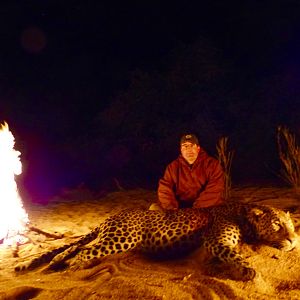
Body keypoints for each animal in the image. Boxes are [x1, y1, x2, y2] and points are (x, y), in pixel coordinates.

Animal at [15, 202, 298, 282]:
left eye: (291, 225)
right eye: (277, 225)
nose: (294, 240)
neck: (242, 213)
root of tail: (110, 217)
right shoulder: (216, 241)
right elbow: (235, 255)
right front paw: (251, 271)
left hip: (110, 237)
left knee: (75, 246)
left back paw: (56, 262)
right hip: (122, 238)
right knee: (84, 250)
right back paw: (73, 269)